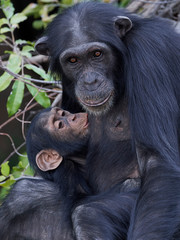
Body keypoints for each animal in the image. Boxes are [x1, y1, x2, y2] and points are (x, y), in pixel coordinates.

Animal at [0, 107, 138, 240]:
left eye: (63, 113)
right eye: (60, 125)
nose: (73, 117)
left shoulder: (20, 197)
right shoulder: (21, 193)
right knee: (86, 216)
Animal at [34, 1, 180, 238]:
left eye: (97, 54)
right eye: (73, 60)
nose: (90, 81)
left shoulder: (149, 51)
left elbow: (158, 162)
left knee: (89, 213)